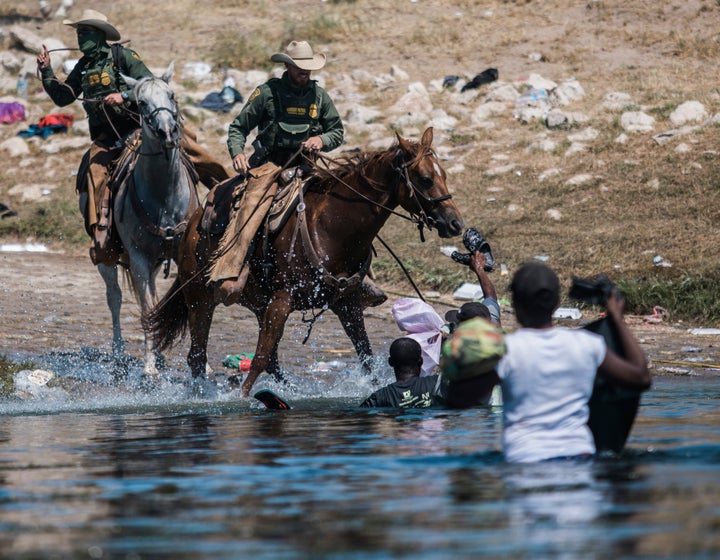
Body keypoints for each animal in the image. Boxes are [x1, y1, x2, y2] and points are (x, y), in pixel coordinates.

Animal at [97, 63, 201, 376]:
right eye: (142, 103)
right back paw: (120, 354)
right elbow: (146, 310)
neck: (164, 196)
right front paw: (149, 368)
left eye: (172, 95)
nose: (167, 132)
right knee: (115, 298)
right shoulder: (139, 258)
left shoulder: (183, 254)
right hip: (108, 258)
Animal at [145, 129, 462, 396]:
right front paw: (241, 398)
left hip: (257, 304)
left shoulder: (346, 303)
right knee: (198, 356)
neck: (332, 227)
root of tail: (193, 224)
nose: (455, 223)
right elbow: (260, 357)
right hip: (200, 298)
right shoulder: (282, 301)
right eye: (425, 178)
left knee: (268, 360)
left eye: (444, 175)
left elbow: (365, 354)